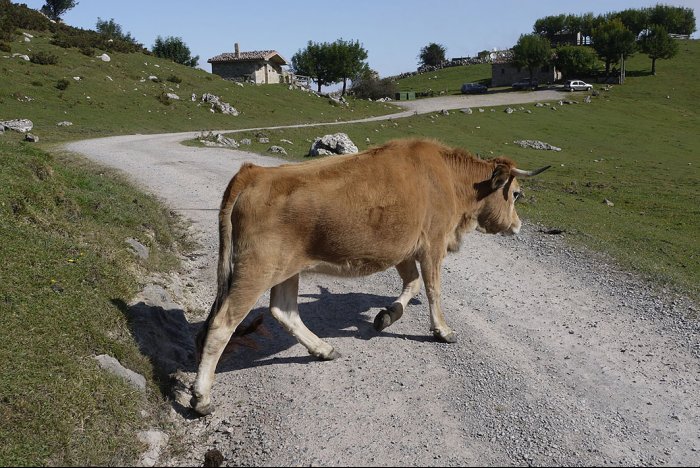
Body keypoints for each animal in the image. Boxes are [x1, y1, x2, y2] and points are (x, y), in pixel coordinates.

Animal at [190, 137, 548, 414]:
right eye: (516, 194)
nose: (517, 226)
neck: (450, 181)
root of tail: (254, 172)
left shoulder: (404, 249)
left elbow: (412, 284)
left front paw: (387, 315)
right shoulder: (432, 244)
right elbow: (433, 289)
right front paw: (442, 330)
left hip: (286, 269)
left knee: (284, 310)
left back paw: (323, 349)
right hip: (256, 270)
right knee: (223, 325)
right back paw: (202, 396)